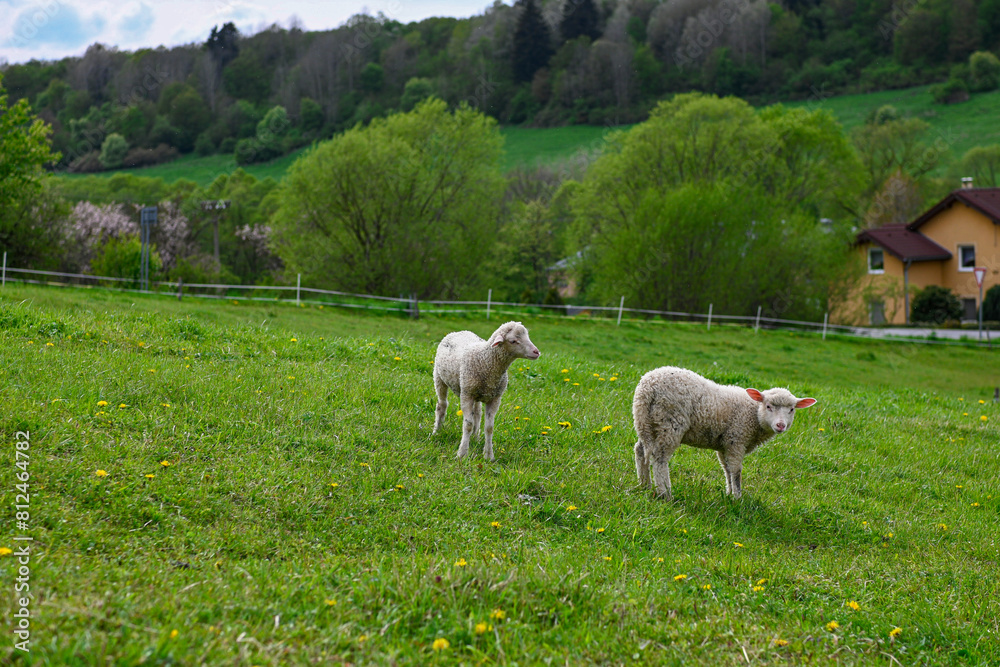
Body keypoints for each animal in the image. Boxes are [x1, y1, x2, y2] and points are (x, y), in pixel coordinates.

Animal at [432, 321, 541, 460]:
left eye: (527, 336)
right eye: (513, 341)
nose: (536, 352)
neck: (485, 360)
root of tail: (458, 332)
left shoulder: (495, 398)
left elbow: (489, 427)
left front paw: (488, 455)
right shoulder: (466, 395)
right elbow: (468, 425)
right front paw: (462, 454)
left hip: (477, 392)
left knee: (477, 413)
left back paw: (475, 437)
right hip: (439, 377)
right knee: (442, 405)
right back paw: (436, 431)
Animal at [632, 366, 816, 500]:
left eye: (791, 409)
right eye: (769, 406)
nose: (780, 425)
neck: (753, 413)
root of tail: (648, 386)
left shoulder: (724, 444)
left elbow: (726, 468)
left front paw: (728, 494)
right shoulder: (737, 440)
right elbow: (736, 471)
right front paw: (738, 498)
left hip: (645, 422)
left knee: (641, 450)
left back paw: (644, 485)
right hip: (670, 423)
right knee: (659, 457)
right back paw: (665, 493)